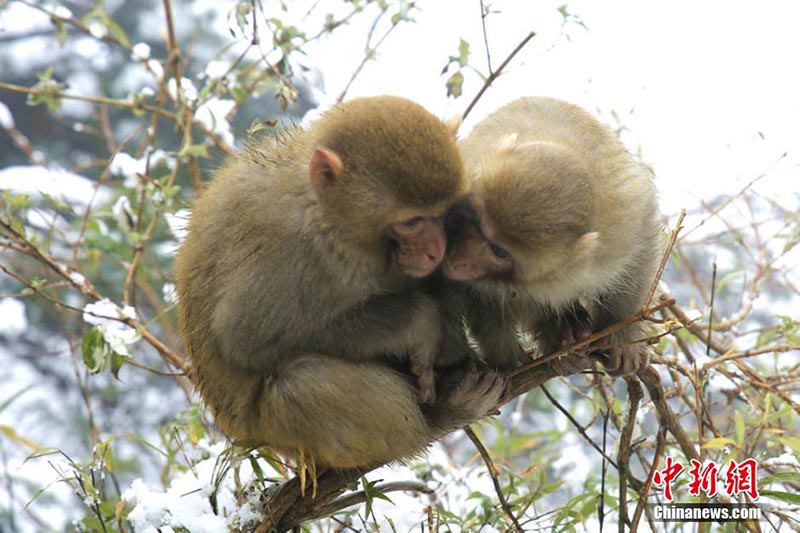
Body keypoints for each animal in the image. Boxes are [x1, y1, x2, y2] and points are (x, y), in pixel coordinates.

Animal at [176, 96, 504, 470]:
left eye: (444, 214)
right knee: (301, 384)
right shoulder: (283, 245)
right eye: (411, 222)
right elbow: (246, 340)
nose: (435, 250)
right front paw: (421, 323)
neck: (326, 217)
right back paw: (439, 417)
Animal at [444, 95, 664, 374]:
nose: (460, 257)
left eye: (498, 251)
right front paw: (507, 363)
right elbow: (485, 299)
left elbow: (639, 249)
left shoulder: (621, 227)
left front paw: (622, 333)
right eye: (473, 223)